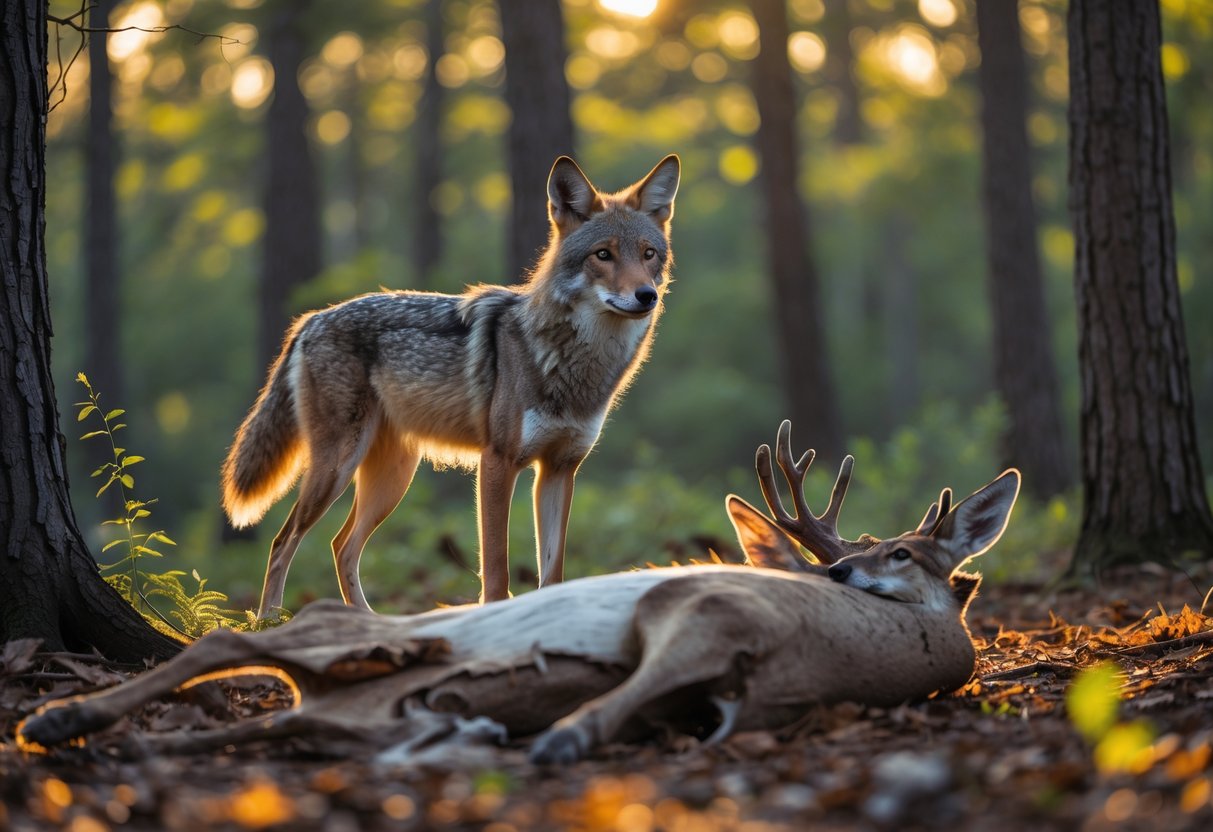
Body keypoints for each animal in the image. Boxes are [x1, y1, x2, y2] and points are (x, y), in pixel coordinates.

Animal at [18, 422, 1020, 765]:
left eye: (901, 550)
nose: (838, 571)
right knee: (284, 713)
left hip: (382, 638)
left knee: (245, 642)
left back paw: (55, 720)